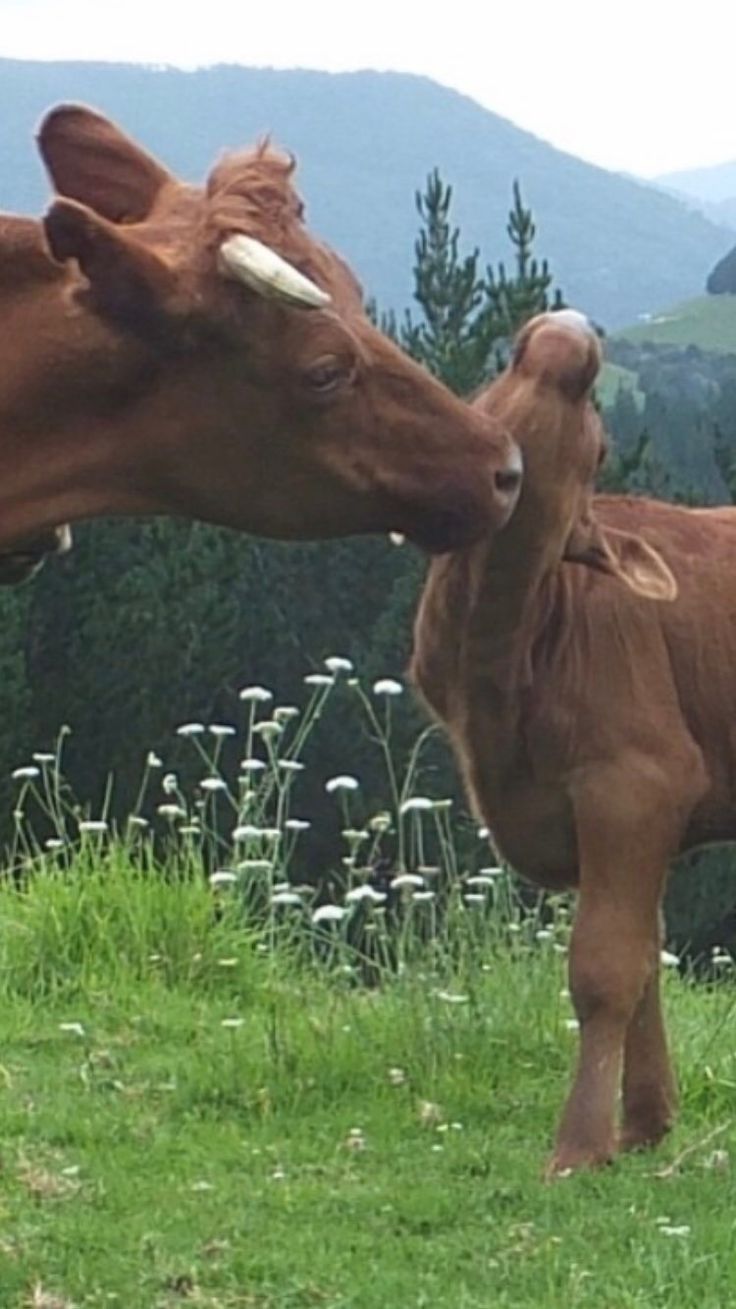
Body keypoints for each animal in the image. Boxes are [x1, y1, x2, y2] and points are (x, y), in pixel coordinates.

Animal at [413, 311, 728, 1183]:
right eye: (490, 379)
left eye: (600, 446)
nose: (566, 334)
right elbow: (645, 949)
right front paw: (645, 1122)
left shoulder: (636, 784)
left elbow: (604, 962)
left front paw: (581, 1142)